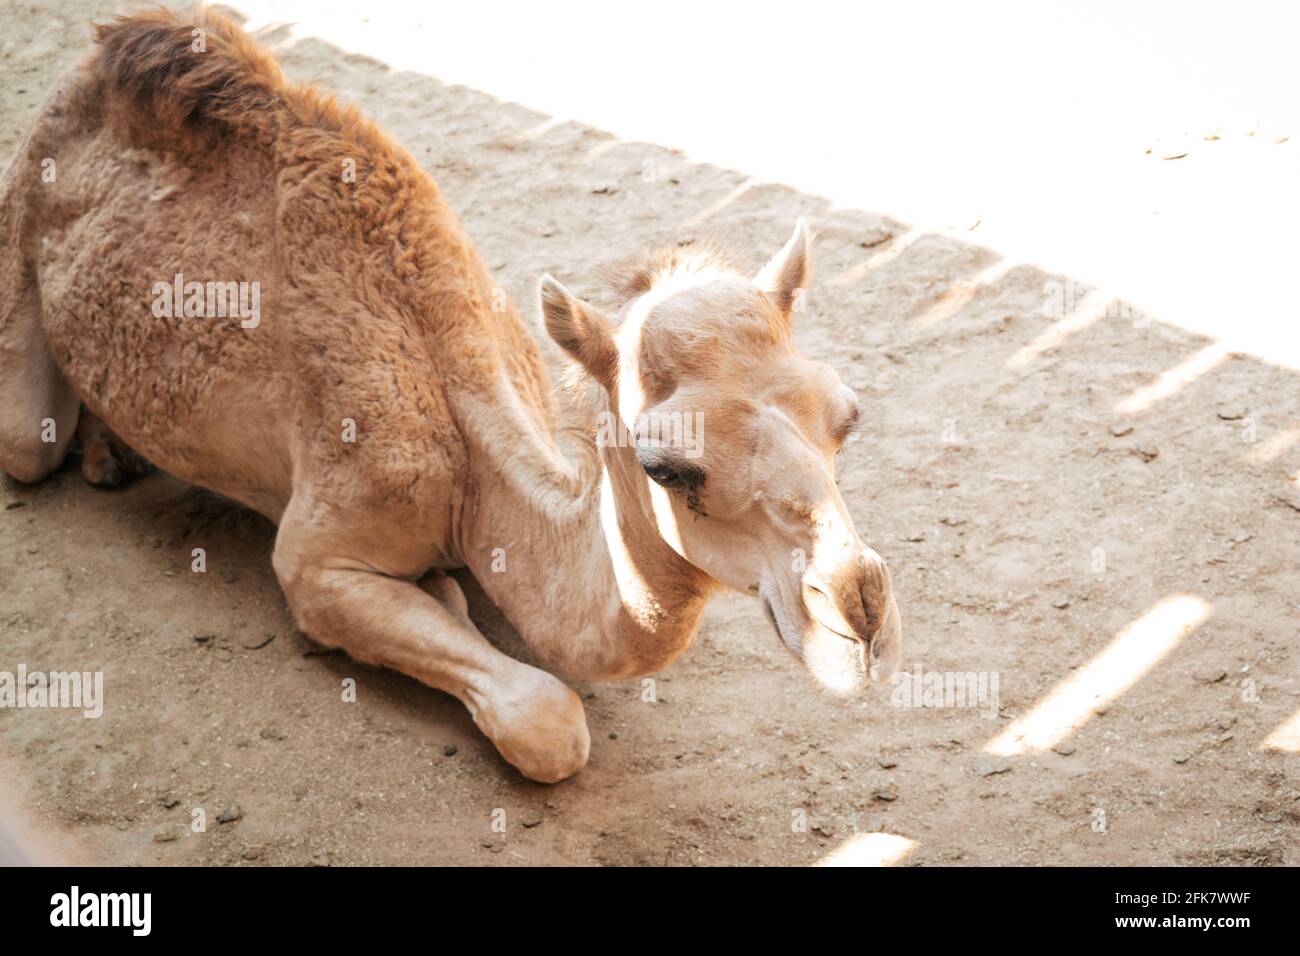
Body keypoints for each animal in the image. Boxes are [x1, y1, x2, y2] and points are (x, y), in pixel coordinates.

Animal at [0, 8, 902, 782]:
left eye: (847, 419)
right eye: (668, 468)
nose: (859, 616)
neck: (472, 462)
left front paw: (444, 588)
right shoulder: (316, 555)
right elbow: (549, 720)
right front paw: (442, 595)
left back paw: (111, 451)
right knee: (28, 441)